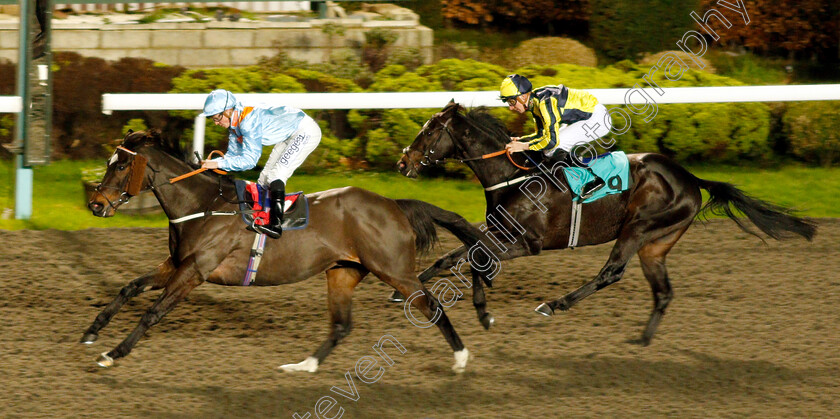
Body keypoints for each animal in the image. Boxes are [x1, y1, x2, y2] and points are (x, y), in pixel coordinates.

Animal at [85, 130, 482, 372]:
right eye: (108, 163)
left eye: (122, 165)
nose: (95, 205)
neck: (201, 205)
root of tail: (394, 204)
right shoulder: (176, 263)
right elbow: (129, 287)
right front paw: (92, 331)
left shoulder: (195, 271)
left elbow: (153, 312)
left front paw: (113, 353)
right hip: (343, 271)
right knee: (342, 325)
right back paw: (303, 366)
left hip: (395, 270)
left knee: (432, 305)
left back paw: (462, 359)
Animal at [398, 102, 816, 348]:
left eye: (430, 130)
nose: (403, 163)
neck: (512, 176)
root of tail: (689, 177)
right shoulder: (499, 231)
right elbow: (456, 256)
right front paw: (412, 290)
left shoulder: (528, 243)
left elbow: (476, 259)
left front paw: (482, 312)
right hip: (656, 244)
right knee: (663, 292)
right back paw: (642, 341)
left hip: (638, 227)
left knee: (611, 271)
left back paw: (554, 304)